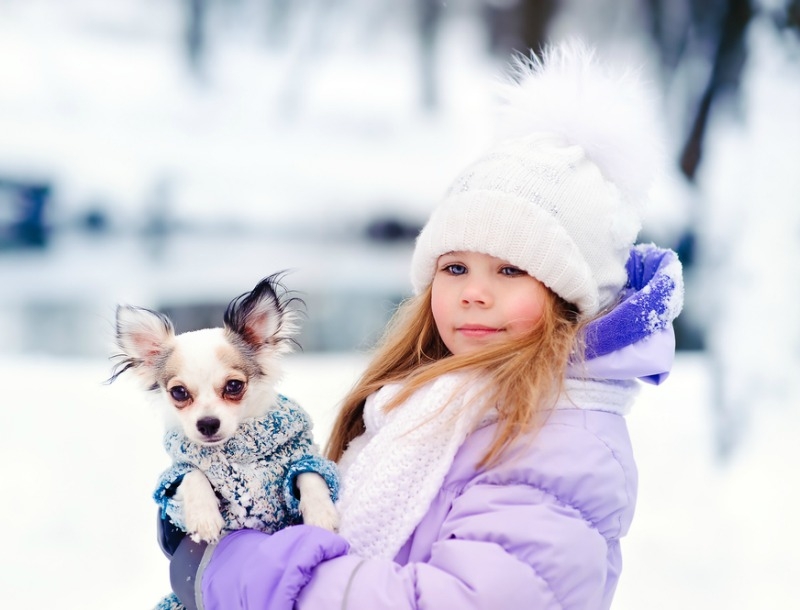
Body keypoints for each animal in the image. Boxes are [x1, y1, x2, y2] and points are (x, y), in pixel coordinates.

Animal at [110, 274, 340, 544]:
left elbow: (310, 474)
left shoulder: (302, 455)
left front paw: (321, 513)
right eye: (179, 392)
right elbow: (193, 474)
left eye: (234, 386)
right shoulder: (174, 476)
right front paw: (204, 517)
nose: (208, 423)